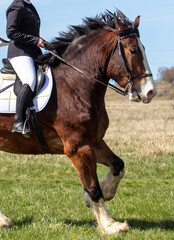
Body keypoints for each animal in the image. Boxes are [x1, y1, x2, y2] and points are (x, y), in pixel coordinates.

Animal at [0, 9, 157, 234]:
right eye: (134, 50)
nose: (150, 92)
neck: (74, 83)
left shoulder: (94, 141)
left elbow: (118, 166)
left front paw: (104, 193)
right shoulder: (78, 147)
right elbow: (92, 187)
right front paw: (110, 225)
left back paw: (2, 220)